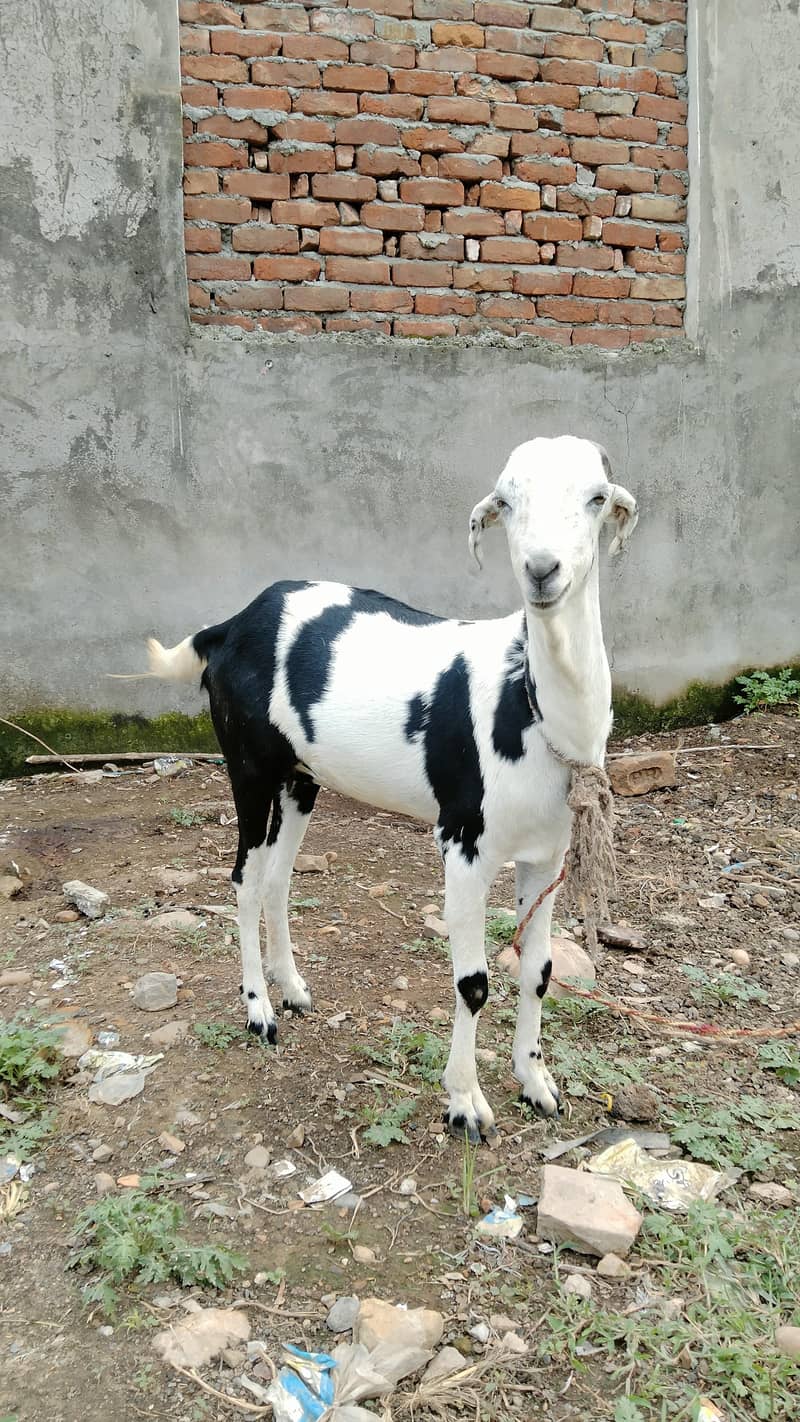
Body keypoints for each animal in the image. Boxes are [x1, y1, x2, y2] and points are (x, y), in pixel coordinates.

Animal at [146, 435, 637, 1142]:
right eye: (506, 500)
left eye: (596, 498)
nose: (542, 571)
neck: (528, 698)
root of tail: (232, 625)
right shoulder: (464, 843)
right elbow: (473, 981)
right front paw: (465, 1103)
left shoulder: (547, 855)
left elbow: (539, 971)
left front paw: (536, 1083)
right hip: (249, 767)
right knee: (243, 877)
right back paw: (258, 1010)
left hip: (300, 781)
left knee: (276, 879)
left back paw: (291, 988)